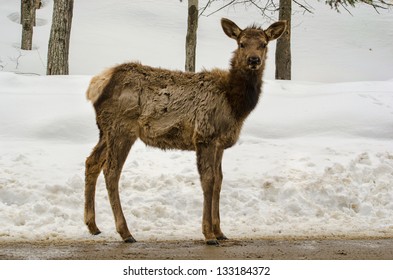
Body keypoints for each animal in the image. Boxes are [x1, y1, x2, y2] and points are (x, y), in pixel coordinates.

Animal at [84, 18, 284, 245]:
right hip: (122, 129)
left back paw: (93, 225)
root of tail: (96, 85)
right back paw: (125, 232)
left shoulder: (220, 143)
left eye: (264, 44)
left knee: (91, 162)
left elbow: (219, 180)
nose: (253, 60)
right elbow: (208, 180)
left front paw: (220, 231)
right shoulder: (205, 135)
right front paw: (208, 234)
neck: (235, 105)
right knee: (111, 171)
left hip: (105, 131)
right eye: (241, 43)